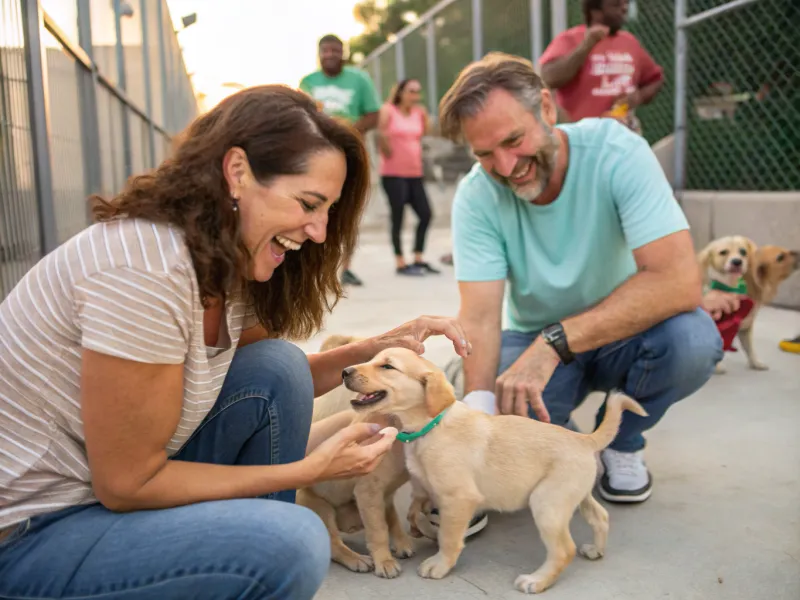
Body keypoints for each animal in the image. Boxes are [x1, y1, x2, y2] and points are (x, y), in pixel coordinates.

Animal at [296, 336, 416, 580]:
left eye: (386, 366)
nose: (345, 372)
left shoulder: (385, 495)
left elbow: (391, 519)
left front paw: (401, 542)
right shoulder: (369, 491)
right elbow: (378, 528)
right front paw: (385, 561)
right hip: (319, 507)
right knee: (333, 544)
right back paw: (356, 559)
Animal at [340, 346, 648, 596]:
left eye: (387, 366)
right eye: (372, 360)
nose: (344, 371)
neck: (430, 425)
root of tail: (584, 439)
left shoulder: (459, 498)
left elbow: (449, 536)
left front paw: (440, 564)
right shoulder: (427, 488)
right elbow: (417, 509)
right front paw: (419, 528)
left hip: (547, 503)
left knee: (563, 550)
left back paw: (536, 581)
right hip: (575, 495)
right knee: (600, 517)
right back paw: (596, 550)